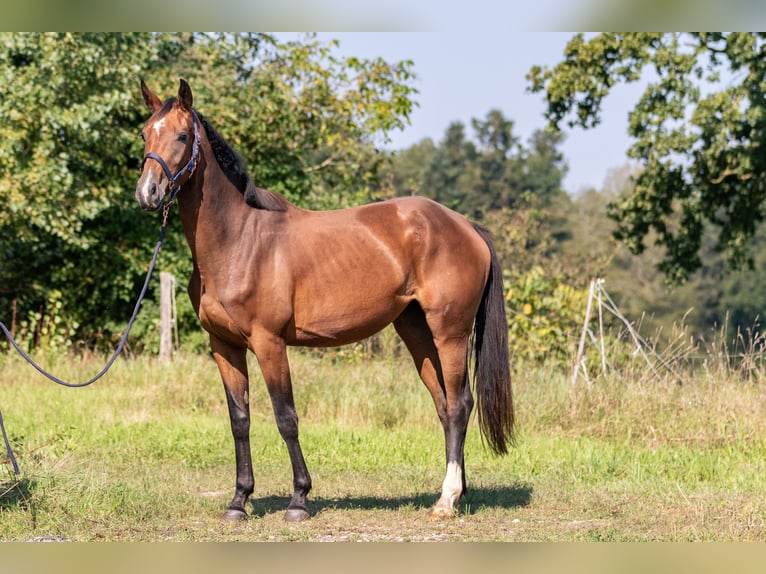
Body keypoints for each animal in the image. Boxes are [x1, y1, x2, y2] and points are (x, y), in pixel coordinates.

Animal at [136, 79, 516, 524]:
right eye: (145, 134)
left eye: (182, 136)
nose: (148, 193)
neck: (239, 241)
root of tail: (466, 225)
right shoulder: (224, 346)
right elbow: (239, 420)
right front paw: (238, 501)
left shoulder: (269, 343)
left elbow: (286, 418)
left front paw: (299, 500)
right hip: (417, 332)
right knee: (443, 405)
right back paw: (458, 491)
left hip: (450, 333)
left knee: (458, 404)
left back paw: (446, 500)